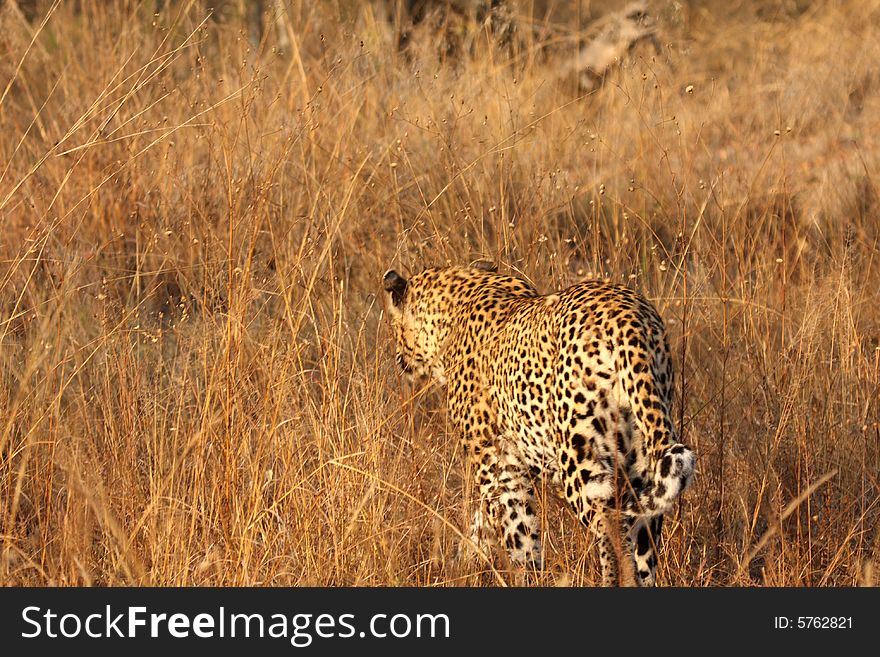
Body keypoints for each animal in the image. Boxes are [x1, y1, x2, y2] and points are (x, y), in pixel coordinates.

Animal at [382, 262, 696, 584]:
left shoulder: (497, 464)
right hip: (644, 449)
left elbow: (518, 534)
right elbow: (480, 525)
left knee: (610, 529)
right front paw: (463, 564)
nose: (398, 358)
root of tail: (628, 318)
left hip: (580, 460)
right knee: (644, 539)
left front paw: (522, 574)